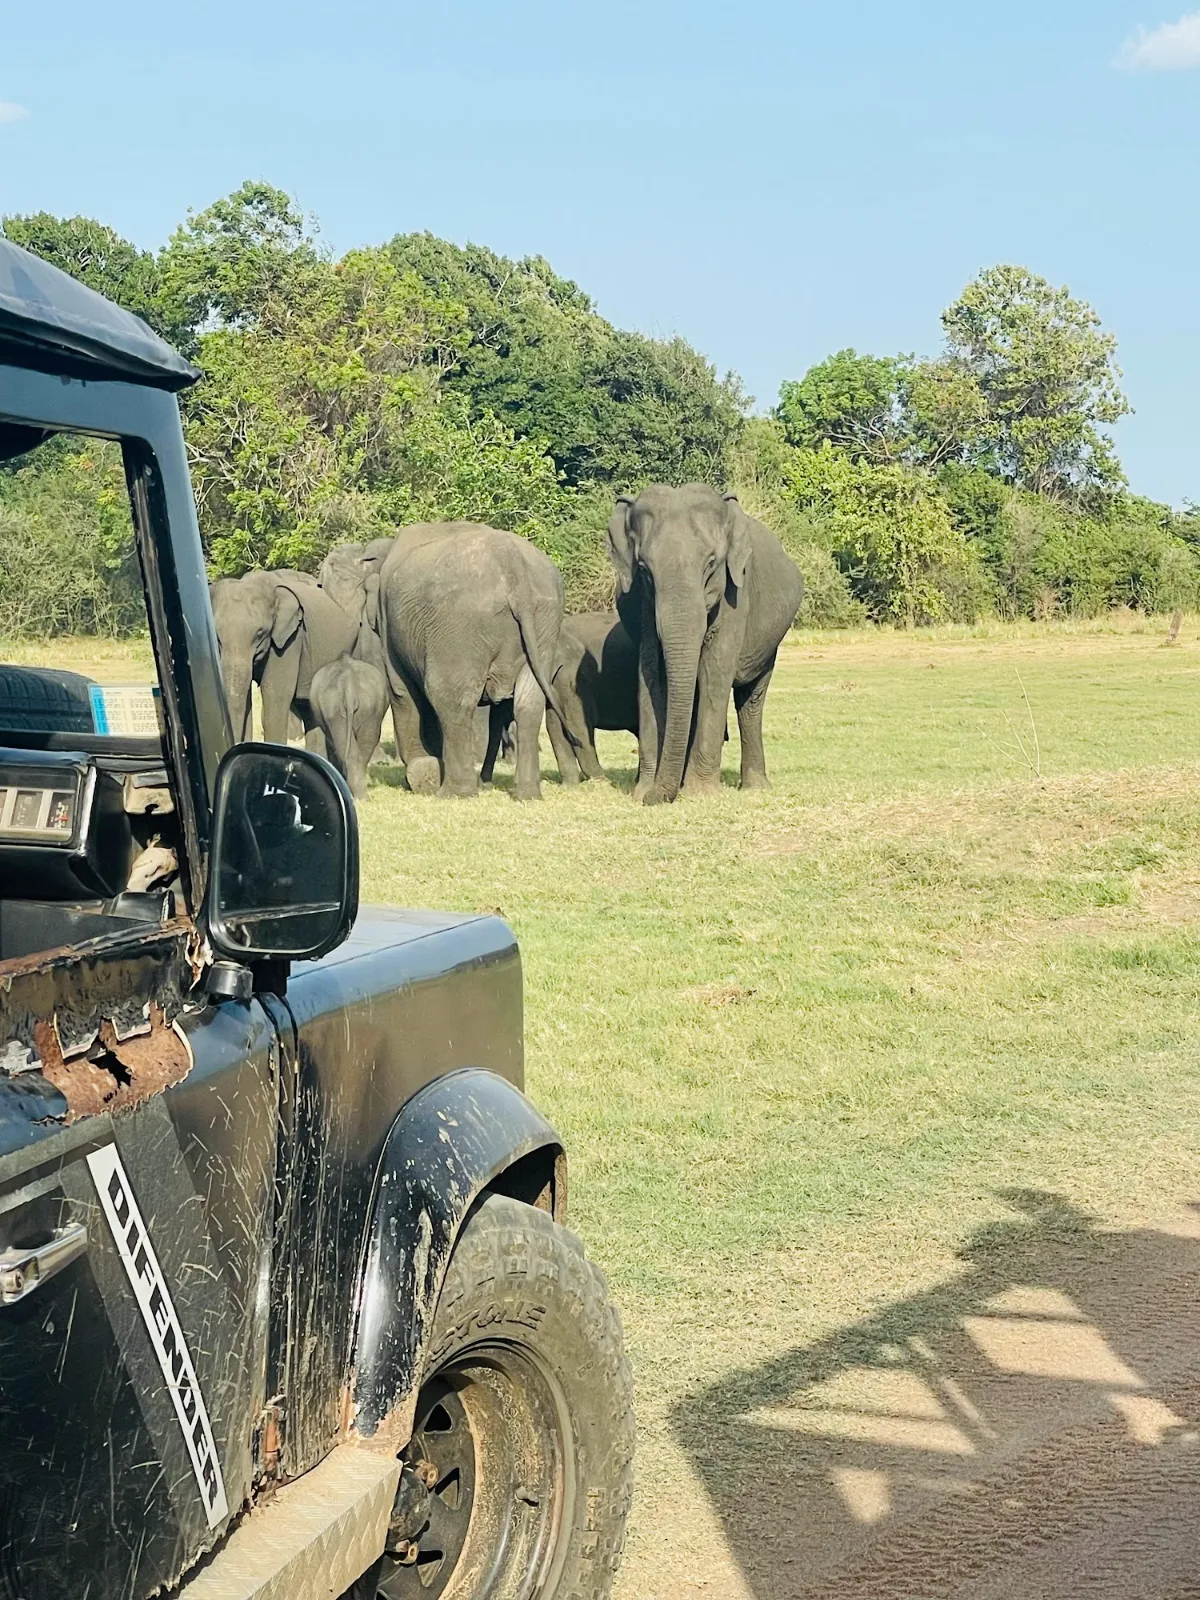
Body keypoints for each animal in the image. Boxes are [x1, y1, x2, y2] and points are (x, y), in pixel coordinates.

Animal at [379, 521, 566, 800]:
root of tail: (512, 565)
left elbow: (401, 691)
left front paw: (421, 777)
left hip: (458, 623)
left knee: (450, 697)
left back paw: (454, 793)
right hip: (545, 619)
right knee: (529, 701)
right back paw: (527, 794)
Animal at [608, 483, 803, 805]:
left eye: (711, 563)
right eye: (644, 569)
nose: (656, 797)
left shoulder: (736, 595)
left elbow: (714, 673)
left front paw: (699, 794)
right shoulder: (643, 604)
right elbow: (649, 676)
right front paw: (644, 792)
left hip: (770, 643)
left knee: (750, 701)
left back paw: (756, 787)